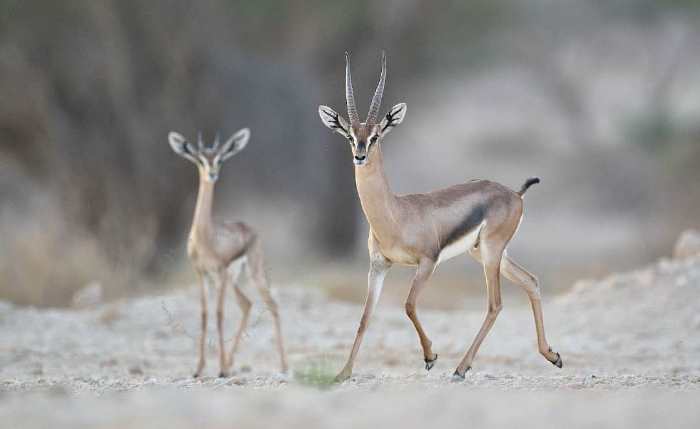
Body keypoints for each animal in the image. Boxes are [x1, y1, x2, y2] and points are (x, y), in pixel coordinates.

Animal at [168, 129, 287, 378]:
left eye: (220, 159)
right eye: (200, 160)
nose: (212, 174)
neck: (205, 237)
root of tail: (250, 228)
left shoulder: (221, 272)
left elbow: (220, 315)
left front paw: (221, 369)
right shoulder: (201, 274)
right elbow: (204, 316)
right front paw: (199, 369)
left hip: (251, 273)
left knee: (271, 305)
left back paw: (283, 366)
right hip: (231, 281)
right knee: (247, 305)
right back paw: (232, 363)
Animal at [318, 52, 562, 382]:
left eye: (376, 135)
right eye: (349, 135)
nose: (360, 156)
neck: (395, 214)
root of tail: (514, 193)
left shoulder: (427, 262)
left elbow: (408, 305)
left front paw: (430, 357)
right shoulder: (379, 265)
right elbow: (364, 317)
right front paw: (342, 373)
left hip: (490, 253)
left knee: (495, 304)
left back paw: (460, 369)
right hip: (484, 253)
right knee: (531, 281)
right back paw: (552, 356)